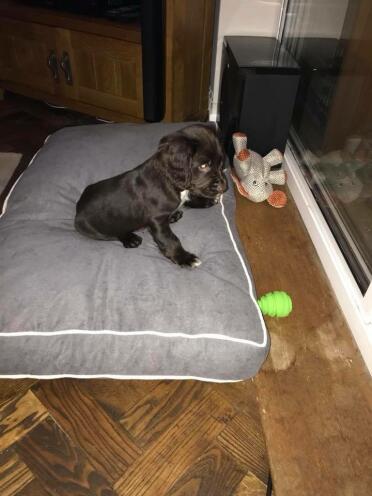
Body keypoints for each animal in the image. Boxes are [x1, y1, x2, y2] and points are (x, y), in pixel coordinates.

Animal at [74, 126, 227, 270]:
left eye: (221, 164)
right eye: (203, 165)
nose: (223, 186)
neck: (170, 181)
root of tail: (79, 205)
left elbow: (189, 199)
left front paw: (205, 201)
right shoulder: (157, 220)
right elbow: (170, 239)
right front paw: (184, 258)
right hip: (90, 228)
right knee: (112, 234)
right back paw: (130, 239)